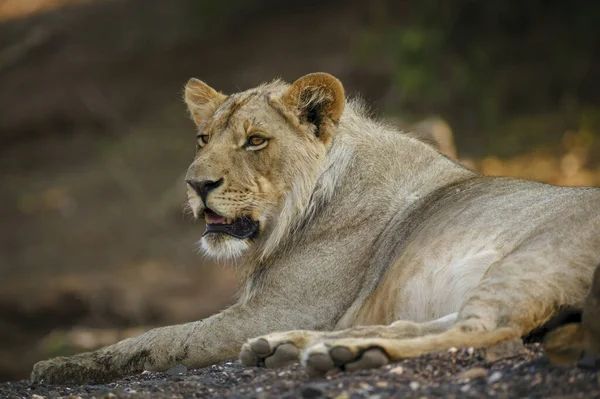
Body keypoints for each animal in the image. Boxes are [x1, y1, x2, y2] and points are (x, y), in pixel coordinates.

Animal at [30, 72, 600, 384]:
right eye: (202, 138)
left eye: (255, 141)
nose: (196, 185)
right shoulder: (271, 311)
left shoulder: (274, 308)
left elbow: (160, 340)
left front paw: (58, 368)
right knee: (435, 322)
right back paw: (290, 348)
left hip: (533, 257)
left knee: (485, 329)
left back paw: (348, 355)